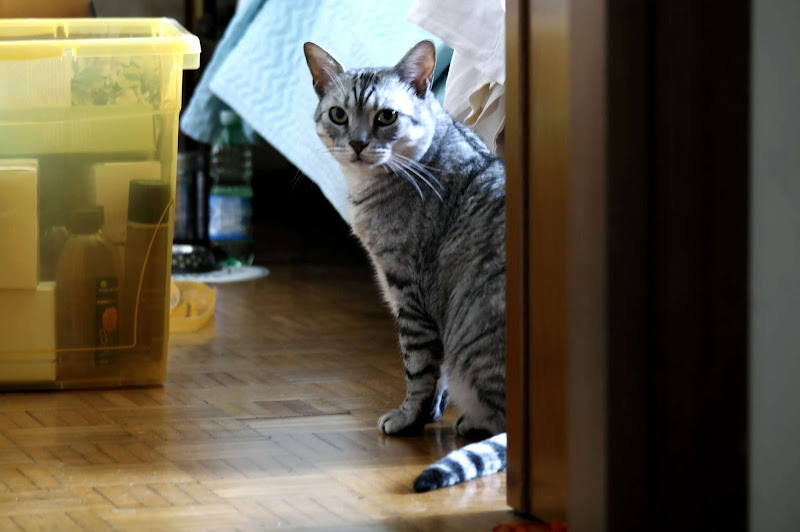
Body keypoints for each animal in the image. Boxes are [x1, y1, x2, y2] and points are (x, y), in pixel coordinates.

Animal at [304, 39, 504, 492]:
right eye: (338, 115)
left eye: (386, 116)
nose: (357, 144)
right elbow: (436, 378)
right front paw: (430, 415)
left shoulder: (408, 294)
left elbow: (419, 371)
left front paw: (408, 419)